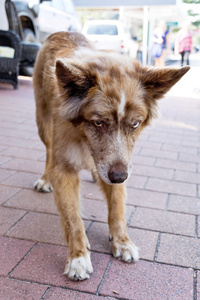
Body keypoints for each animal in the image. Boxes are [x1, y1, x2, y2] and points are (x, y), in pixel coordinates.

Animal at [32, 31, 189, 280]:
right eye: (98, 123)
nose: (118, 178)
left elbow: (117, 207)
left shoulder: (120, 164)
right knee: (48, 151)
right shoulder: (66, 168)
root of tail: (62, 32)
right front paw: (78, 256)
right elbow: (73, 218)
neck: (84, 138)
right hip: (43, 123)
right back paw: (46, 179)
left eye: (135, 124)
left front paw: (122, 242)